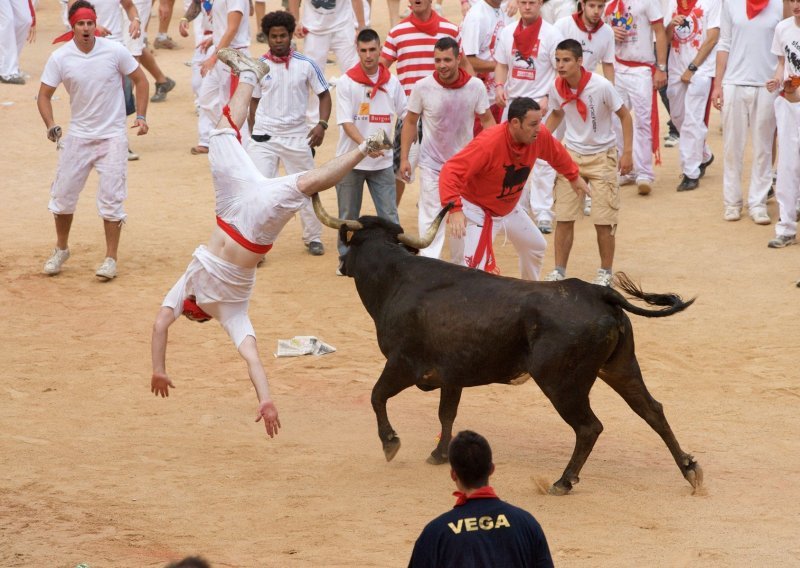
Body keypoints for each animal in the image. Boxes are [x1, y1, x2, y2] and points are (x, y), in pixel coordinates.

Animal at [316, 194, 704, 492]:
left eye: (350, 244)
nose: (340, 265)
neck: (396, 278)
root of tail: (599, 293)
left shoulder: (402, 364)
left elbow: (376, 395)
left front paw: (390, 443)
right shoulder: (452, 375)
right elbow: (446, 413)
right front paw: (439, 455)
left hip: (562, 383)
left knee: (589, 427)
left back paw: (563, 481)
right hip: (620, 368)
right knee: (652, 410)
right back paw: (689, 470)